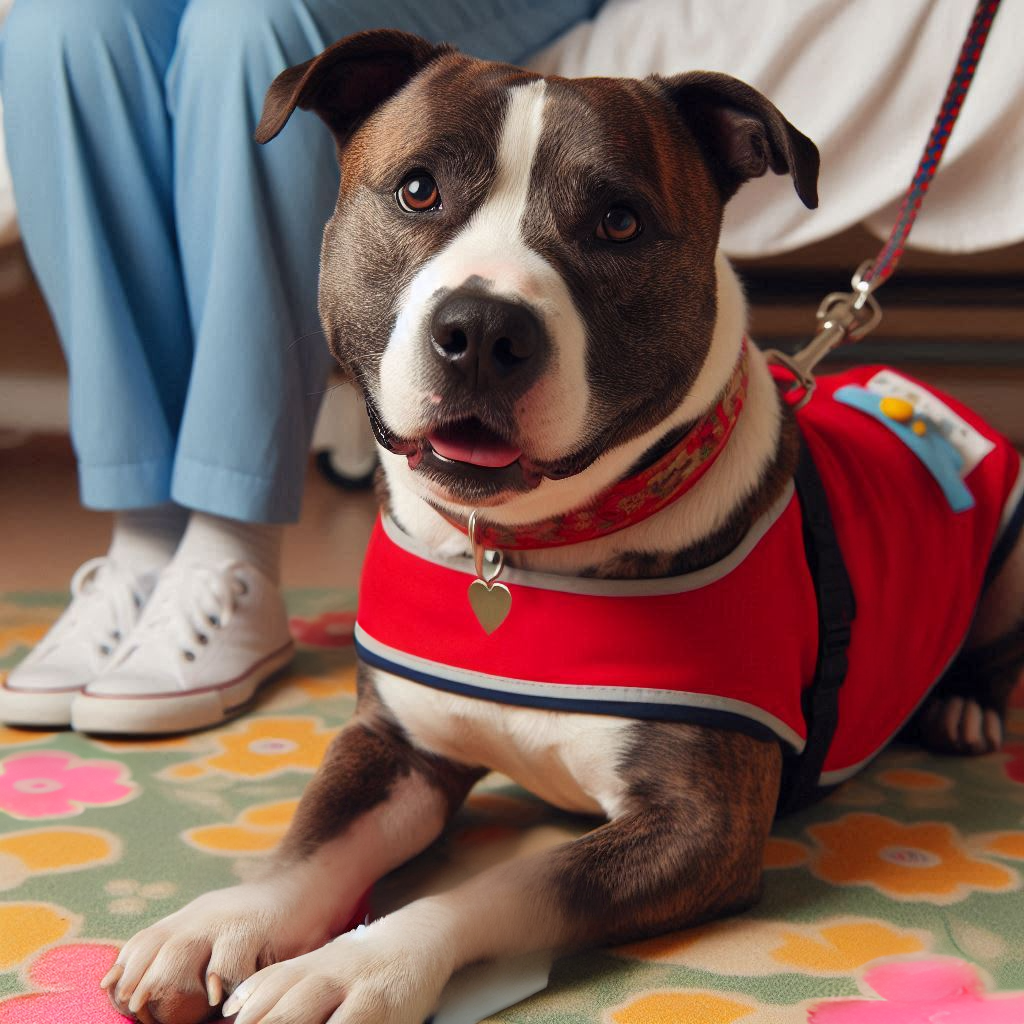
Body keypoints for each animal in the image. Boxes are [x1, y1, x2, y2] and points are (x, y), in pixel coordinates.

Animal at [101, 28, 1024, 1024]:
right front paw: (220, 921)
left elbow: (499, 887)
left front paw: (350, 965)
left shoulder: (699, 825)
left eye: (619, 222)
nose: (480, 328)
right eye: (418, 189)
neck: (525, 549)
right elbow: (310, 841)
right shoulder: (395, 749)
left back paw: (966, 705)